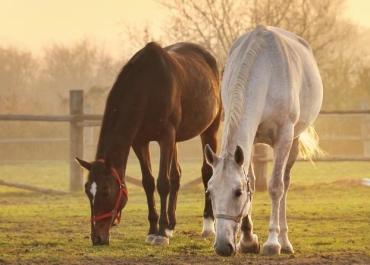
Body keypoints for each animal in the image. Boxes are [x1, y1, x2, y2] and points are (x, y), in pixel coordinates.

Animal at [74, 41, 223, 245]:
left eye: (105, 191)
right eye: (88, 191)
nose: (97, 238)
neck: (148, 85)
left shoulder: (166, 136)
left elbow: (162, 183)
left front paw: (160, 234)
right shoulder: (140, 142)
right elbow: (149, 183)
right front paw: (154, 229)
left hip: (209, 130)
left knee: (207, 172)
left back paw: (208, 226)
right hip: (176, 139)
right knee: (176, 176)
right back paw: (171, 225)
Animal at [204, 25, 322, 256]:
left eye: (237, 192)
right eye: (209, 192)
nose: (222, 246)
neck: (265, 72)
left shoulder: (284, 137)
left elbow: (275, 187)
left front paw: (272, 242)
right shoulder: (250, 141)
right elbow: (251, 179)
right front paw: (248, 240)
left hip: (293, 142)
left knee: (285, 183)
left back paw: (284, 241)